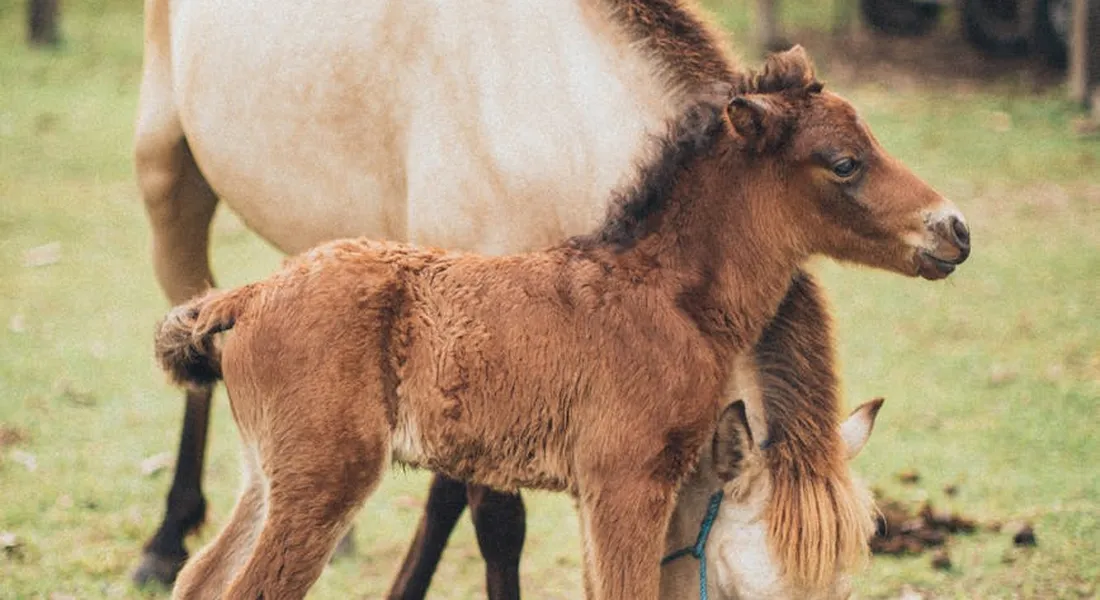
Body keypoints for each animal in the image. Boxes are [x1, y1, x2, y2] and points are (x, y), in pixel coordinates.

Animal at [152, 49, 970, 599]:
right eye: (844, 162)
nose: (954, 229)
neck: (667, 296)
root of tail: (249, 295)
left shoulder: (611, 493)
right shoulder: (625, 480)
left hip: (269, 473)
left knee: (202, 579)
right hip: (324, 477)